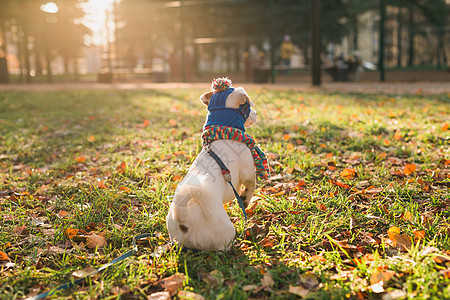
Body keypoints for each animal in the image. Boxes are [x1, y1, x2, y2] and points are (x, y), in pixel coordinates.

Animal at [166, 78, 258, 251]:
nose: (256, 114)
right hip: (225, 232)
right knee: (222, 248)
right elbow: (251, 186)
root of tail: (184, 222)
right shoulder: (248, 171)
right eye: (248, 105)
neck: (223, 132)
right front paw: (245, 199)